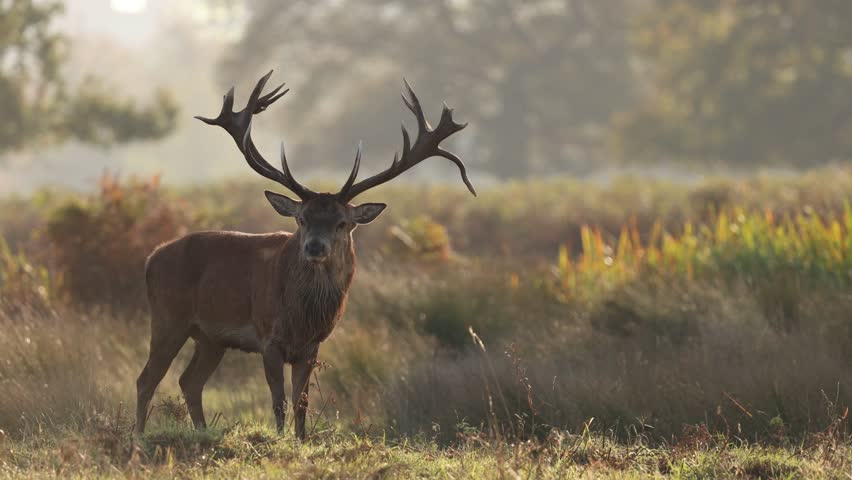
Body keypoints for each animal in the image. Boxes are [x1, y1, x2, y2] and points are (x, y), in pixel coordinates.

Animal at [134, 71, 475, 440]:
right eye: (301, 219)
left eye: (342, 223)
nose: (314, 246)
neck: (302, 316)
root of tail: (151, 258)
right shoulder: (268, 335)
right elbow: (279, 401)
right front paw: (280, 439)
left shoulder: (312, 346)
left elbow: (302, 402)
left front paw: (300, 440)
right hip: (169, 317)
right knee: (147, 379)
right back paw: (138, 437)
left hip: (211, 339)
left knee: (189, 381)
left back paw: (202, 432)